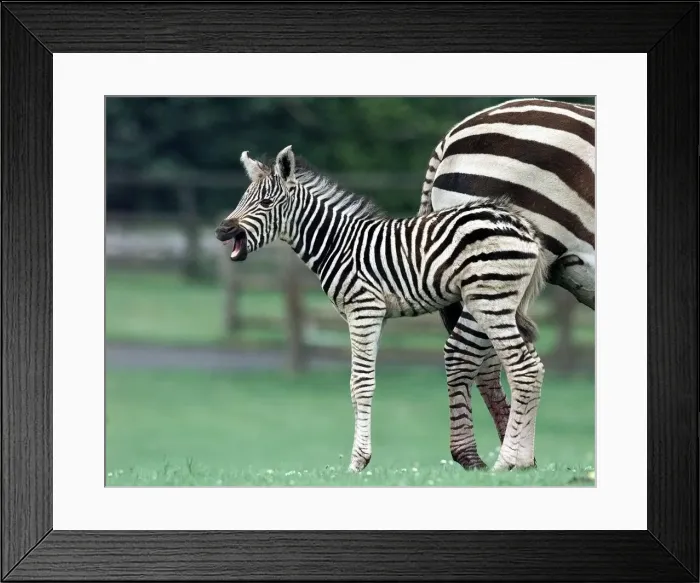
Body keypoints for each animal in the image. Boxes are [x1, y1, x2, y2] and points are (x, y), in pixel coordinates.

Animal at [215, 145, 548, 472]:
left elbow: (360, 383)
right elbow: (360, 382)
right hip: (504, 302)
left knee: (523, 368)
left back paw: (506, 462)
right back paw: (523, 462)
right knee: (534, 366)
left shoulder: (363, 309)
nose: (221, 231)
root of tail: (523, 224)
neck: (337, 244)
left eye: (266, 203)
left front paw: (357, 462)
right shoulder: (376, 315)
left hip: (490, 298)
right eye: (242, 199)